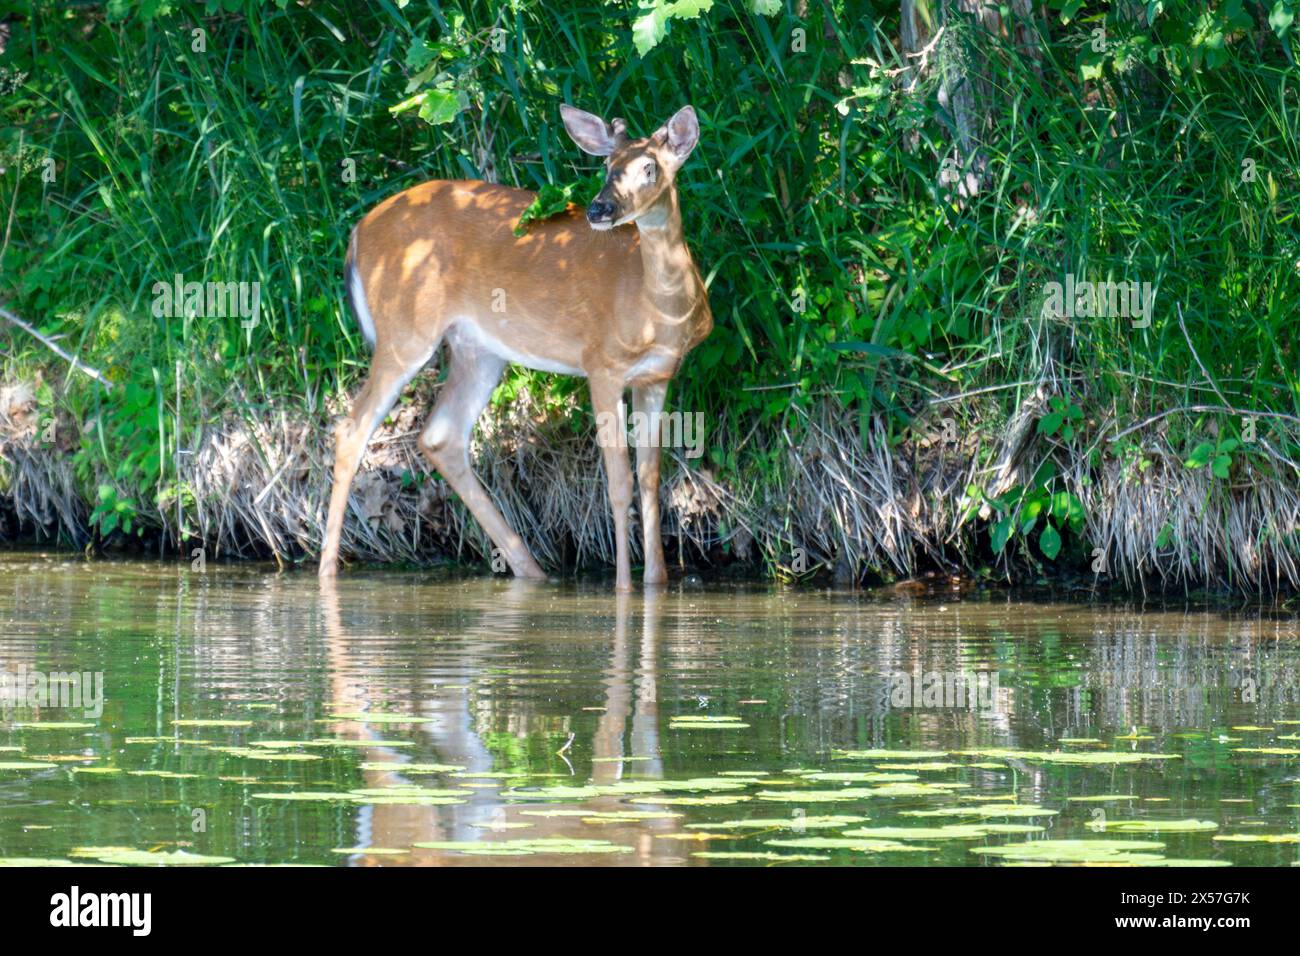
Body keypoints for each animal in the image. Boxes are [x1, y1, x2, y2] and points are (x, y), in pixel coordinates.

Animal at [321, 108, 717, 595]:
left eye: (649, 167)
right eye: (607, 166)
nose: (599, 209)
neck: (656, 311)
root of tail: (358, 231)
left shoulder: (657, 376)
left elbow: (650, 477)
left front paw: (655, 583)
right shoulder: (601, 363)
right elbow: (620, 482)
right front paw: (624, 588)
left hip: (479, 350)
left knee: (440, 435)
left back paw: (532, 571)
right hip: (405, 328)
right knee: (351, 431)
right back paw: (327, 573)